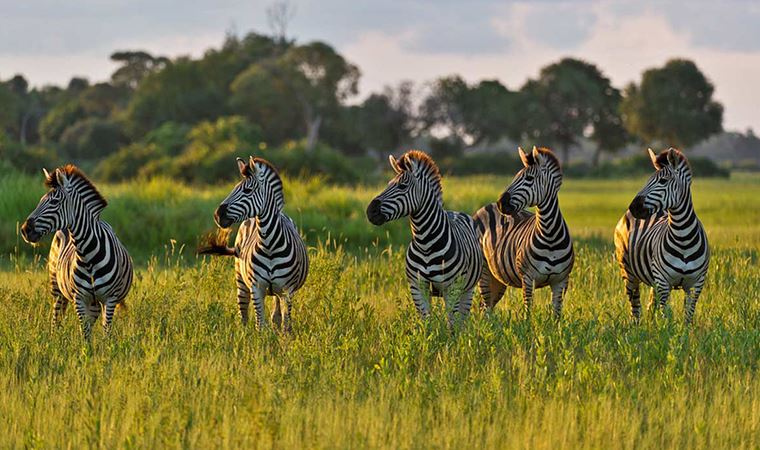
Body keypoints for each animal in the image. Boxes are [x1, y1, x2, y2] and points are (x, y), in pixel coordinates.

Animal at [20, 164, 134, 338]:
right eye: (40, 201)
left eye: (54, 202)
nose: (25, 230)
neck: (88, 256)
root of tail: (63, 229)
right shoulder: (79, 298)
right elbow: (85, 332)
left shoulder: (110, 299)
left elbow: (106, 332)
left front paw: (107, 346)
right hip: (56, 287)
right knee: (56, 318)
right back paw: (53, 341)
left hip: (95, 303)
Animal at [202, 156, 312, 332]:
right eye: (233, 188)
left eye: (247, 191)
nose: (217, 215)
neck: (270, 245)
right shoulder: (256, 288)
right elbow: (260, 324)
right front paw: (260, 340)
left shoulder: (287, 291)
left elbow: (286, 326)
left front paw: (284, 339)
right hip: (240, 279)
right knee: (243, 314)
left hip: (278, 292)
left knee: (276, 316)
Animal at [366, 149, 484, 322]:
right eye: (388, 184)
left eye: (402, 186)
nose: (370, 211)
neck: (426, 243)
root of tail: (455, 212)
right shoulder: (417, 287)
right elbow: (426, 322)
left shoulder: (452, 288)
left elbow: (451, 324)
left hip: (468, 289)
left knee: (462, 320)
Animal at [472, 146, 572, 318]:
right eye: (515, 177)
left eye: (529, 179)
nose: (501, 203)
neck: (550, 235)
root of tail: (485, 207)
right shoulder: (528, 278)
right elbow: (528, 312)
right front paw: (528, 325)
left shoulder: (561, 281)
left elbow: (556, 314)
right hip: (484, 271)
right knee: (484, 307)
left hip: (497, 278)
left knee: (486, 307)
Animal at [616, 148, 708, 324]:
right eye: (648, 180)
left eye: (663, 181)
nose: (633, 207)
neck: (683, 237)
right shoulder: (663, 282)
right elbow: (667, 316)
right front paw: (666, 331)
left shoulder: (695, 285)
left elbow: (688, 316)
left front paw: (685, 332)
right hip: (628, 272)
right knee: (635, 307)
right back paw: (636, 327)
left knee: (649, 306)